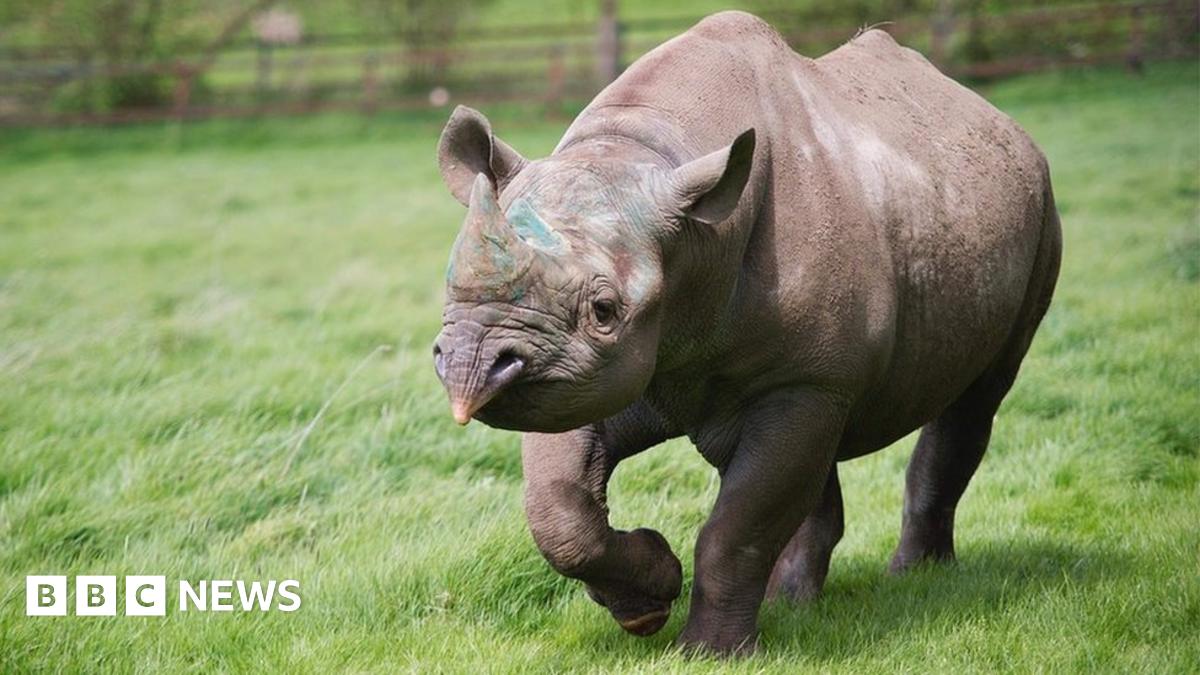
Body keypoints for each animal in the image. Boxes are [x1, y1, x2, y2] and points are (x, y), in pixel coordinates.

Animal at [431, 11, 1061, 654]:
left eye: (604, 310)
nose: (470, 368)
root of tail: (999, 120)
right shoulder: (577, 373)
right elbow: (558, 506)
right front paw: (648, 602)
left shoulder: (799, 378)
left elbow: (738, 527)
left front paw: (708, 653)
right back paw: (794, 604)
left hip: (1039, 208)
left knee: (977, 397)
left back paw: (915, 580)